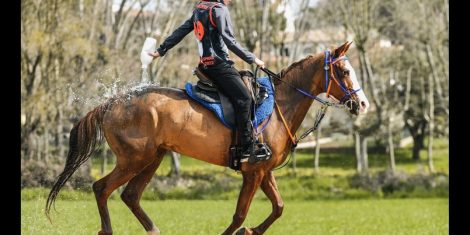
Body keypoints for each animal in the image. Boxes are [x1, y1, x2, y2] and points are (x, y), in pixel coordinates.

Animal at [46, 41, 370, 234]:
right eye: (344, 71)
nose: (363, 104)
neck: (281, 104)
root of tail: (112, 102)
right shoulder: (253, 172)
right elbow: (240, 214)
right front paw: (243, 229)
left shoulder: (263, 171)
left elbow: (278, 208)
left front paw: (252, 231)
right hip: (134, 159)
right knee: (102, 188)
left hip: (153, 158)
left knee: (130, 195)